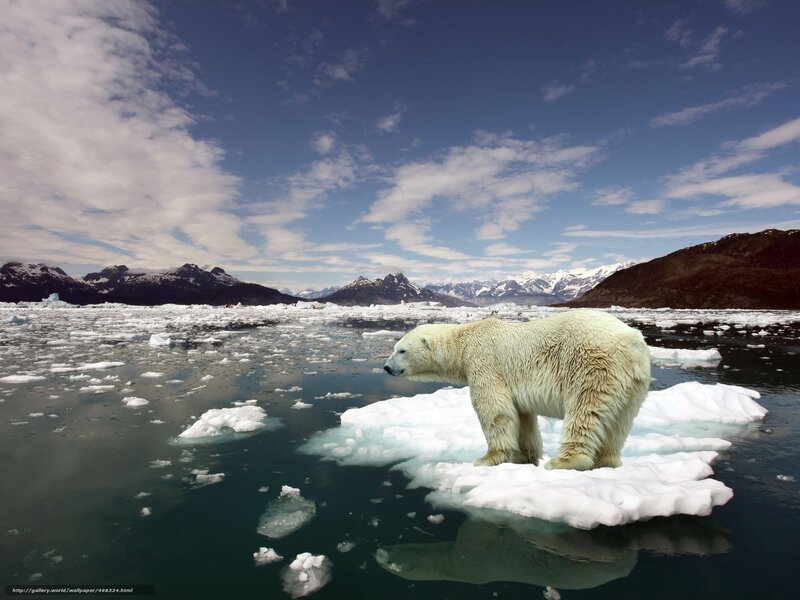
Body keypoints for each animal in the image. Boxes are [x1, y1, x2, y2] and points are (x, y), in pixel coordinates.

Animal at [383, 309, 650, 471]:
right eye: (394, 348)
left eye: (401, 350)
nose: (386, 367)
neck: (464, 341)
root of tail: (632, 342)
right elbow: (522, 418)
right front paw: (525, 457)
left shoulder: (485, 363)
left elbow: (494, 409)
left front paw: (487, 458)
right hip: (633, 384)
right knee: (619, 423)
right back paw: (607, 462)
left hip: (592, 366)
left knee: (585, 411)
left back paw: (564, 461)